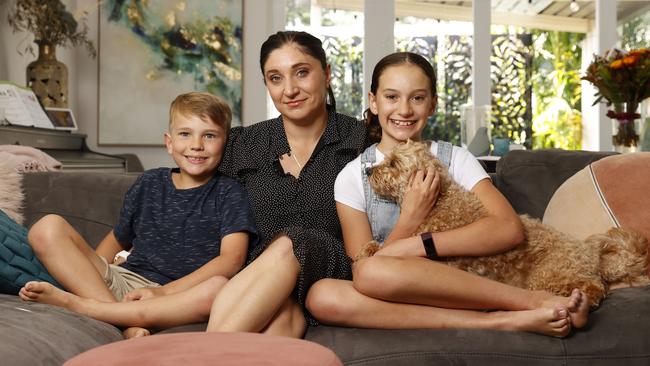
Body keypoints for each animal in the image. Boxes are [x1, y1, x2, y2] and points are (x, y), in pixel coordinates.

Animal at [356, 142, 644, 308]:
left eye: (394, 163)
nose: (368, 171)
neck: (439, 202)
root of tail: (590, 253)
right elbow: (381, 244)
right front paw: (366, 249)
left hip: (547, 275)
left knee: (595, 287)